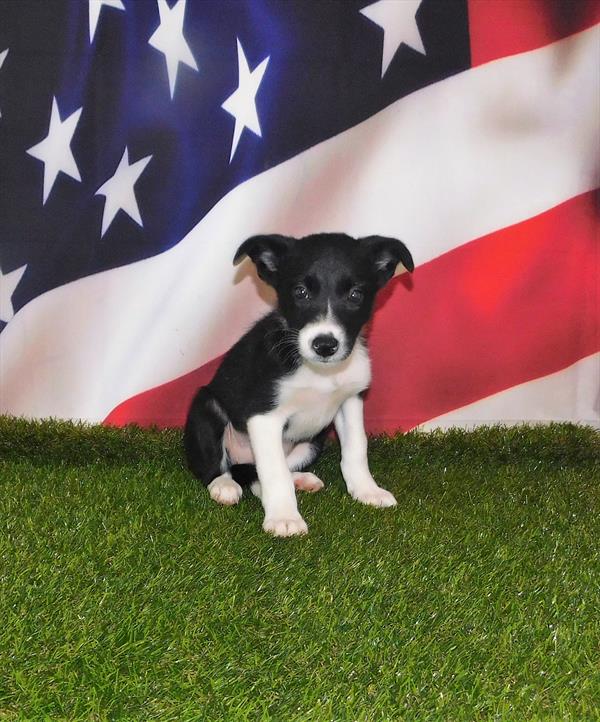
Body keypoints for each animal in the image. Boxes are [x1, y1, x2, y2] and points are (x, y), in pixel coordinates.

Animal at [185, 232, 414, 536]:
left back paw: (300, 479)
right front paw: (284, 518)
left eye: (355, 294)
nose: (325, 345)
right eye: (300, 292)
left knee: (257, 475)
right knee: (223, 468)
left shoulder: (350, 401)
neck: (321, 372)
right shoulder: (264, 416)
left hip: (312, 442)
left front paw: (367, 491)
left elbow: (356, 448)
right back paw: (224, 485)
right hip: (206, 405)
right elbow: (274, 472)